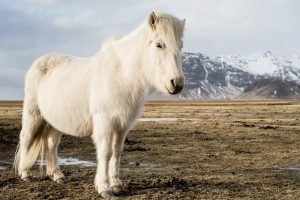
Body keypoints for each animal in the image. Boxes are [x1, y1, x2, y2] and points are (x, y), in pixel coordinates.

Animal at [15, 11, 186, 198]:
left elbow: (117, 152)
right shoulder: (105, 124)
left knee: (52, 144)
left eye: (181, 46)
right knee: (26, 138)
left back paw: (57, 176)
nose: (177, 84)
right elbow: (105, 153)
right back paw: (25, 174)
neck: (121, 75)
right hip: (33, 115)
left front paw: (117, 185)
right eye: (158, 45)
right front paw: (104, 187)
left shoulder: (122, 126)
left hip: (54, 121)